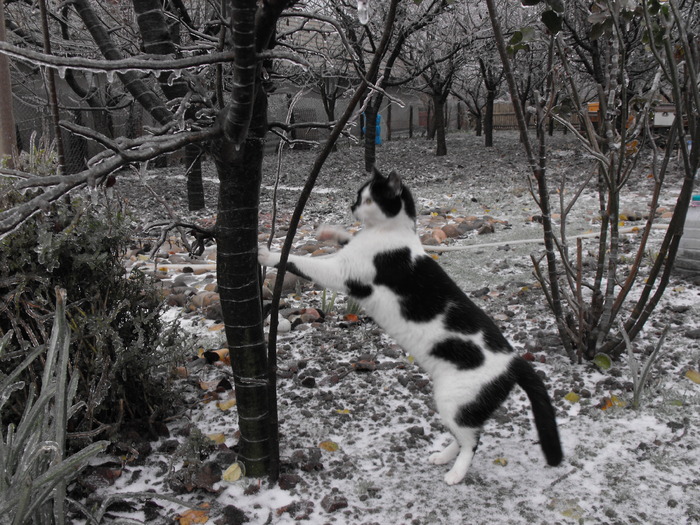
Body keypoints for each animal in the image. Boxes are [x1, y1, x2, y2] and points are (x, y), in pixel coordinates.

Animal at [258, 168, 564, 484]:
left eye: (367, 199)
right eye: (358, 196)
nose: (352, 206)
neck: (390, 234)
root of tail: (515, 359)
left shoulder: (343, 273)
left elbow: (300, 262)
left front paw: (267, 254)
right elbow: (345, 238)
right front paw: (330, 232)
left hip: (454, 400)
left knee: (473, 441)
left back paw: (455, 473)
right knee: (468, 434)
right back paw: (443, 457)